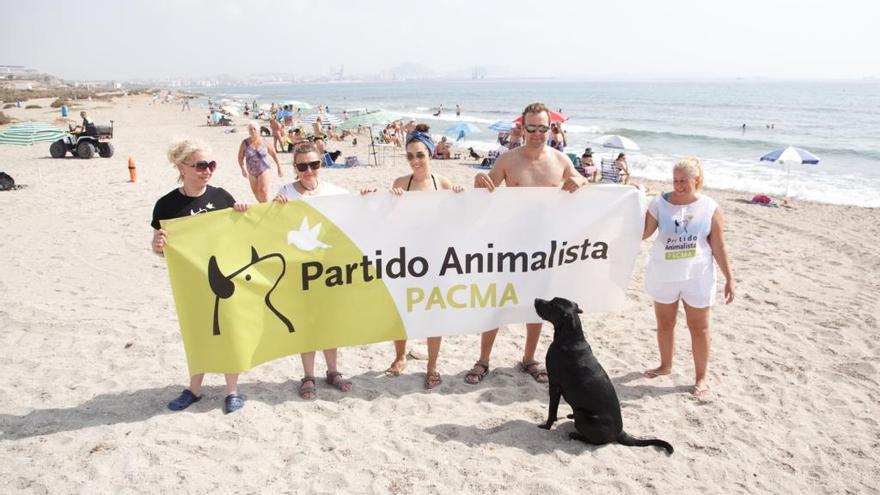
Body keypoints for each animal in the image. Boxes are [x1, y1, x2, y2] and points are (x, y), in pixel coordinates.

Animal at [536, 296, 672, 456]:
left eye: (552, 304)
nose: (536, 299)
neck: (571, 338)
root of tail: (620, 432)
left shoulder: (554, 384)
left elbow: (552, 410)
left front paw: (546, 426)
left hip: (582, 416)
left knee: (594, 441)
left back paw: (575, 435)